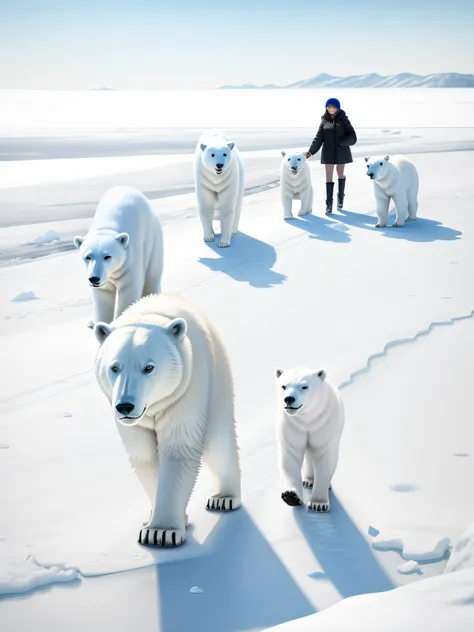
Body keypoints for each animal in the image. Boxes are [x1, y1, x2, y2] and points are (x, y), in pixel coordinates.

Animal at [73, 186, 164, 328]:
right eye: (88, 257)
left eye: (107, 256)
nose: (94, 279)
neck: (106, 229)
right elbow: (103, 297)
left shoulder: (129, 261)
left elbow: (128, 291)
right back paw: (91, 322)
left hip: (153, 237)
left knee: (152, 276)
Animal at [93, 294, 241, 544]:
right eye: (114, 367)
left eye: (148, 367)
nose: (125, 406)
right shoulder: (133, 422)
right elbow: (144, 455)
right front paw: (163, 519)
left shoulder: (185, 390)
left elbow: (178, 448)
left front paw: (161, 532)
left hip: (217, 376)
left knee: (219, 440)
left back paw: (224, 498)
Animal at [274, 368, 344, 512]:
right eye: (283, 386)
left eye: (304, 386)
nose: (289, 399)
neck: (308, 418)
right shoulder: (292, 426)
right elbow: (291, 454)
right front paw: (290, 496)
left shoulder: (324, 424)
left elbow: (325, 456)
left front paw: (318, 504)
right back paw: (308, 481)